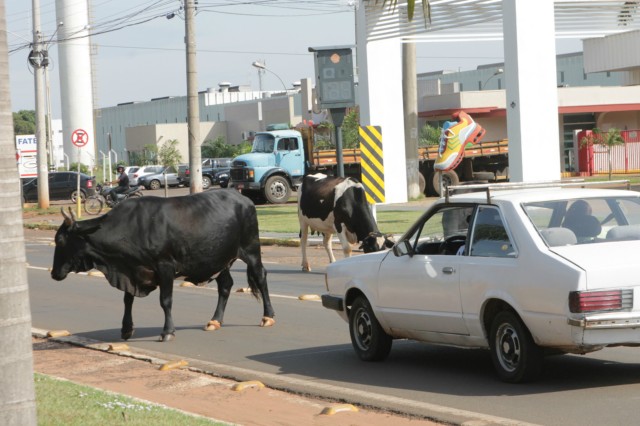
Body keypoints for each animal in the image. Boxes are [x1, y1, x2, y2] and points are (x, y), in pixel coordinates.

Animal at [51, 190, 276, 342]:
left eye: (60, 241)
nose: (53, 273)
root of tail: (243, 198)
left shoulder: (165, 266)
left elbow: (165, 301)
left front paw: (167, 331)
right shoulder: (131, 272)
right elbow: (127, 300)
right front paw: (126, 329)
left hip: (251, 249)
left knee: (261, 277)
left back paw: (268, 317)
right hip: (219, 259)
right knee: (226, 285)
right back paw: (215, 320)